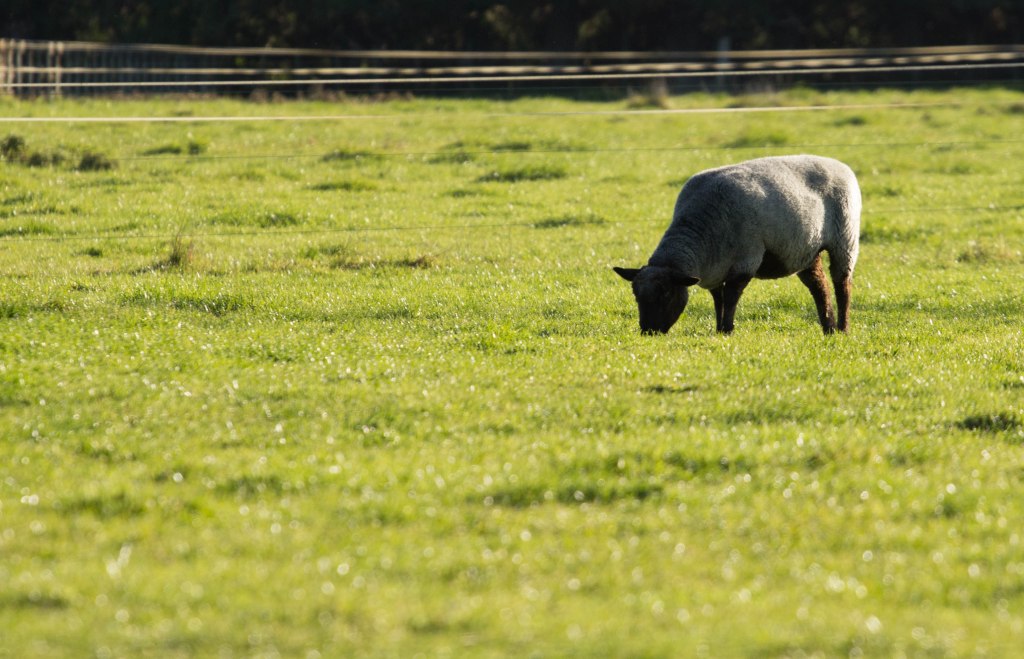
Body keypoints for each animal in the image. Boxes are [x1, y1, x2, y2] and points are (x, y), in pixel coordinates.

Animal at [614, 155, 861, 335]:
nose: (649, 331)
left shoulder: (746, 259)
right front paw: (718, 328)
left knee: (842, 285)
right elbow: (718, 298)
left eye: (666, 293)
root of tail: (840, 164)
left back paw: (843, 328)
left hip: (845, 238)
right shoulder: (714, 268)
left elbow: (731, 295)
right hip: (805, 250)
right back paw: (828, 328)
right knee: (819, 286)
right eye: (635, 294)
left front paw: (727, 330)